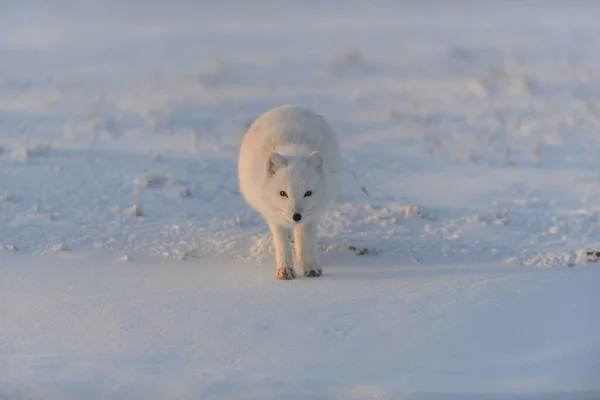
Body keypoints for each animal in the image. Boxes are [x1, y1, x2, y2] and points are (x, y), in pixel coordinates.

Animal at [239, 104, 342, 280]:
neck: (293, 150)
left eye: (308, 193)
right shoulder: (274, 215)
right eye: (283, 193)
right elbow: (281, 243)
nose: (296, 216)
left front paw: (311, 267)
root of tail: (289, 106)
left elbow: (306, 240)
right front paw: (285, 270)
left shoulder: (311, 216)